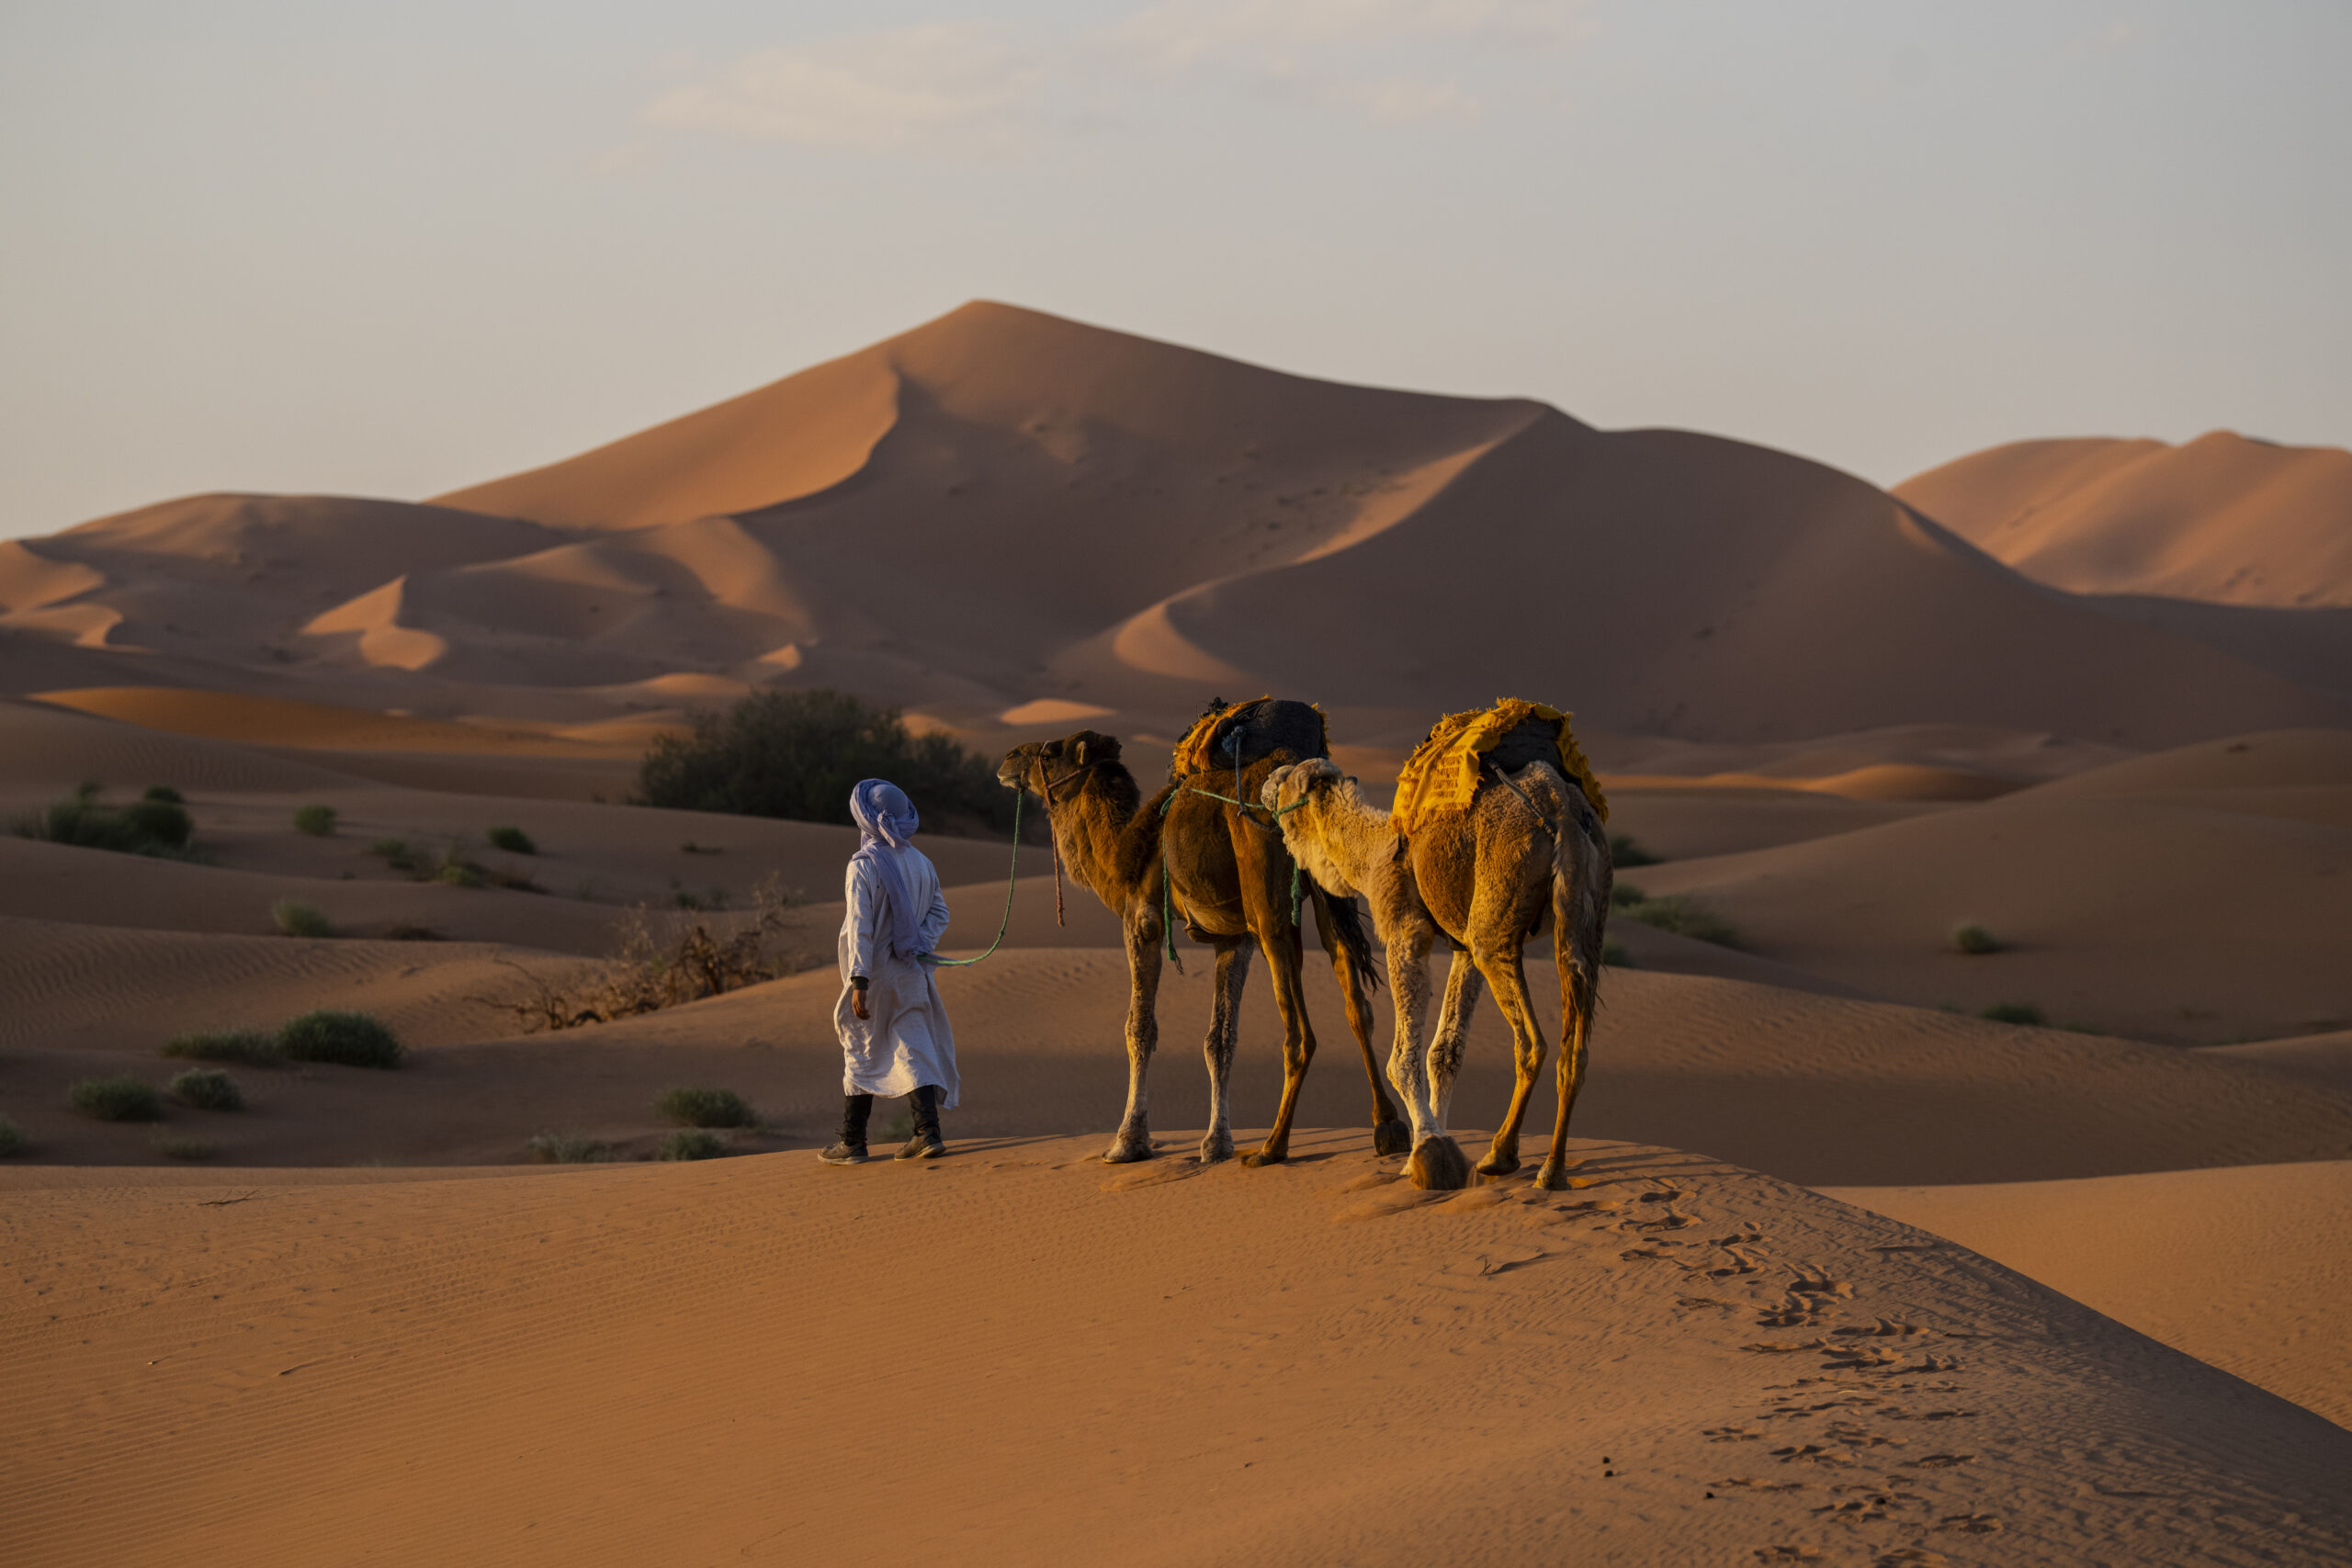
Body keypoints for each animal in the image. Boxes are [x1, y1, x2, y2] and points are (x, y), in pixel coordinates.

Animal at [997, 717, 1409, 1167]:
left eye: (1050, 752)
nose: (1008, 758)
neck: (1125, 851)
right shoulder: (1231, 936)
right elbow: (1220, 1038)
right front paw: (1215, 1143)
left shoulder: (1142, 920)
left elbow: (1139, 1028)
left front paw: (1128, 1142)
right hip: (1326, 893)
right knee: (1358, 1007)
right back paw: (1388, 1127)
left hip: (1269, 909)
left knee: (1300, 1034)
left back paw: (1272, 1147)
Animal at [1261, 744, 1610, 1191]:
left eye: (1288, 779)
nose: (1266, 782)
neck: (1373, 854)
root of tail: (1562, 810)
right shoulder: (1460, 946)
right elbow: (1444, 1053)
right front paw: (1429, 1148)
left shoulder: (1404, 930)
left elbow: (1402, 1059)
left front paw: (1428, 1152)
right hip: (1583, 920)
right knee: (1575, 1046)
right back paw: (1551, 1169)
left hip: (1496, 918)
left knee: (1532, 1041)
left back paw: (1501, 1155)